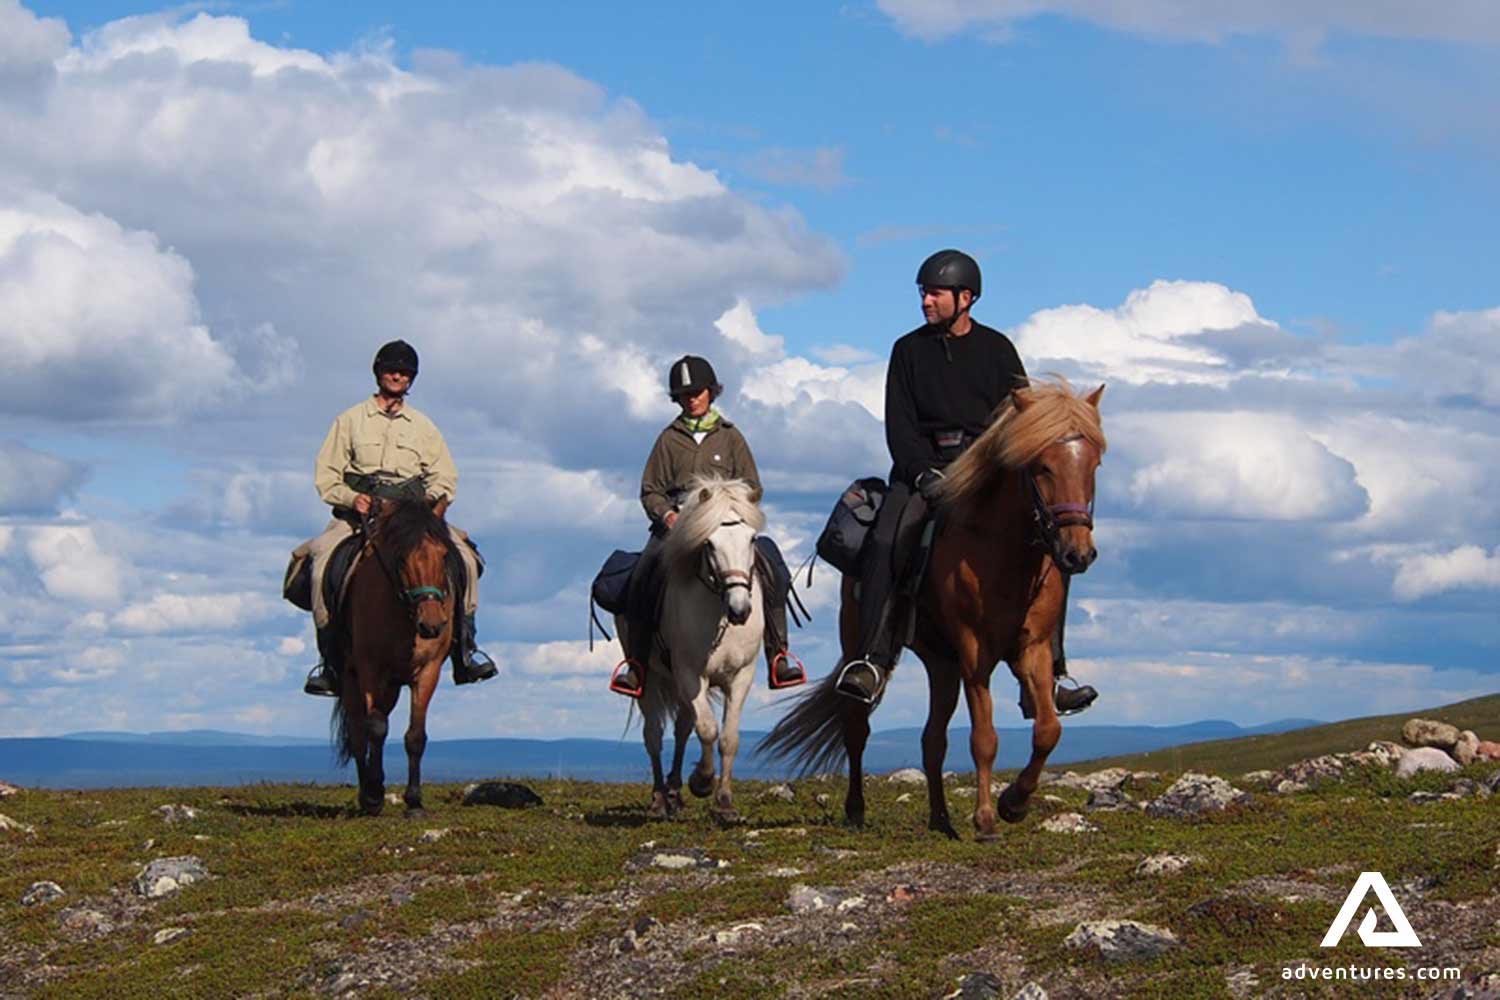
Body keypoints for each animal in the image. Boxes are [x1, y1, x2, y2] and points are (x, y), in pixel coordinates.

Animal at [331, 492, 456, 817]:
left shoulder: (428, 671)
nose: (432, 624)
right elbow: (375, 729)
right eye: (401, 558)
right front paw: (374, 796)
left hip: (391, 687)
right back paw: (367, 793)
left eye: (443, 555)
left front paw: (415, 801)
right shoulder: (370, 669)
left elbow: (415, 735)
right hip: (351, 680)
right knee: (359, 734)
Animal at [618, 476, 766, 823]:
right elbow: (708, 729)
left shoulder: (741, 676)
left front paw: (724, 801)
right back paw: (660, 799)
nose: (740, 610)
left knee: (682, 729)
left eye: (752, 539)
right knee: (654, 736)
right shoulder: (689, 673)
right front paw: (701, 782)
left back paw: (674, 792)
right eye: (709, 543)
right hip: (651, 680)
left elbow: (728, 737)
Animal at [761, 378, 1106, 839]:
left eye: (1093, 465)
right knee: (857, 727)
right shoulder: (975, 654)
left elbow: (1048, 730)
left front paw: (1013, 803)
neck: (1001, 551)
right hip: (865, 646)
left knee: (932, 740)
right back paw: (856, 810)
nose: (1077, 554)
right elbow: (984, 738)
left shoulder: (1030, 649)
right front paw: (986, 819)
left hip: (942, 664)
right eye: (1041, 467)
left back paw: (940, 820)